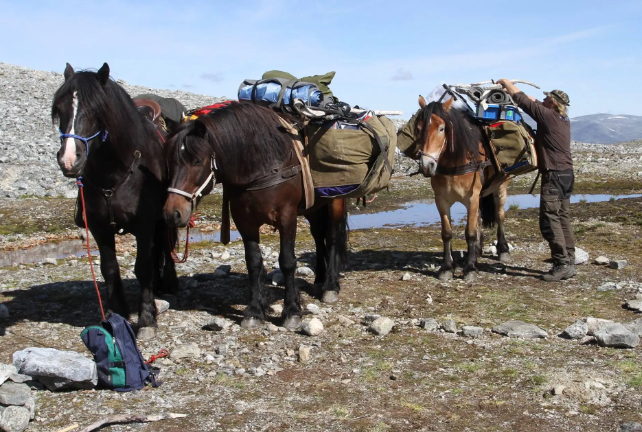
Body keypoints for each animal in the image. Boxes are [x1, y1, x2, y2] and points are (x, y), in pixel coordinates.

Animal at [162, 102, 348, 330]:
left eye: (197, 161)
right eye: (169, 161)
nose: (172, 213)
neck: (263, 166)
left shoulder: (287, 217)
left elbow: (287, 261)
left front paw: (292, 311)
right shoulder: (244, 221)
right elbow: (253, 262)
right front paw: (254, 311)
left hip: (335, 201)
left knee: (332, 237)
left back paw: (330, 285)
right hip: (313, 208)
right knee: (318, 236)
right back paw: (320, 279)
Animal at [412, 96, 508, 282]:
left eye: (442, 128)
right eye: (419, 129)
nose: (426, 166)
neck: (454, 164)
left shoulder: (472, 197)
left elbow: (470, 232)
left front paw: (470, 268)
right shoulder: (441, 200)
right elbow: (447, 233)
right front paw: (447, 267)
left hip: (500, 188)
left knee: (499, 215)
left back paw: (503, 249)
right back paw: (477, 251)